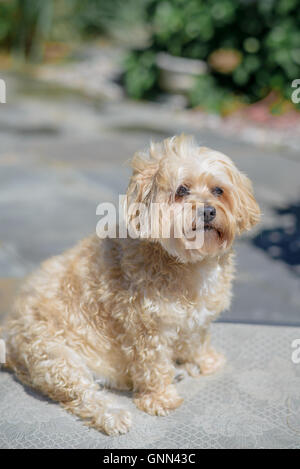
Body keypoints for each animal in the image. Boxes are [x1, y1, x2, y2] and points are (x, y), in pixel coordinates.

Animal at [1, 135, 260, 436]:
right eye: (181, 190)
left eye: (218, 190)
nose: (208, 211)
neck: (188, 262)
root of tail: (9, 334)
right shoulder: (145, 328)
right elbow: (153, 366)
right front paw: (160, 398)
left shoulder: (196, 320)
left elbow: (196, 340)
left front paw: (205, 361)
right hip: (54, 357)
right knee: (83, 395)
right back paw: (113, 415)